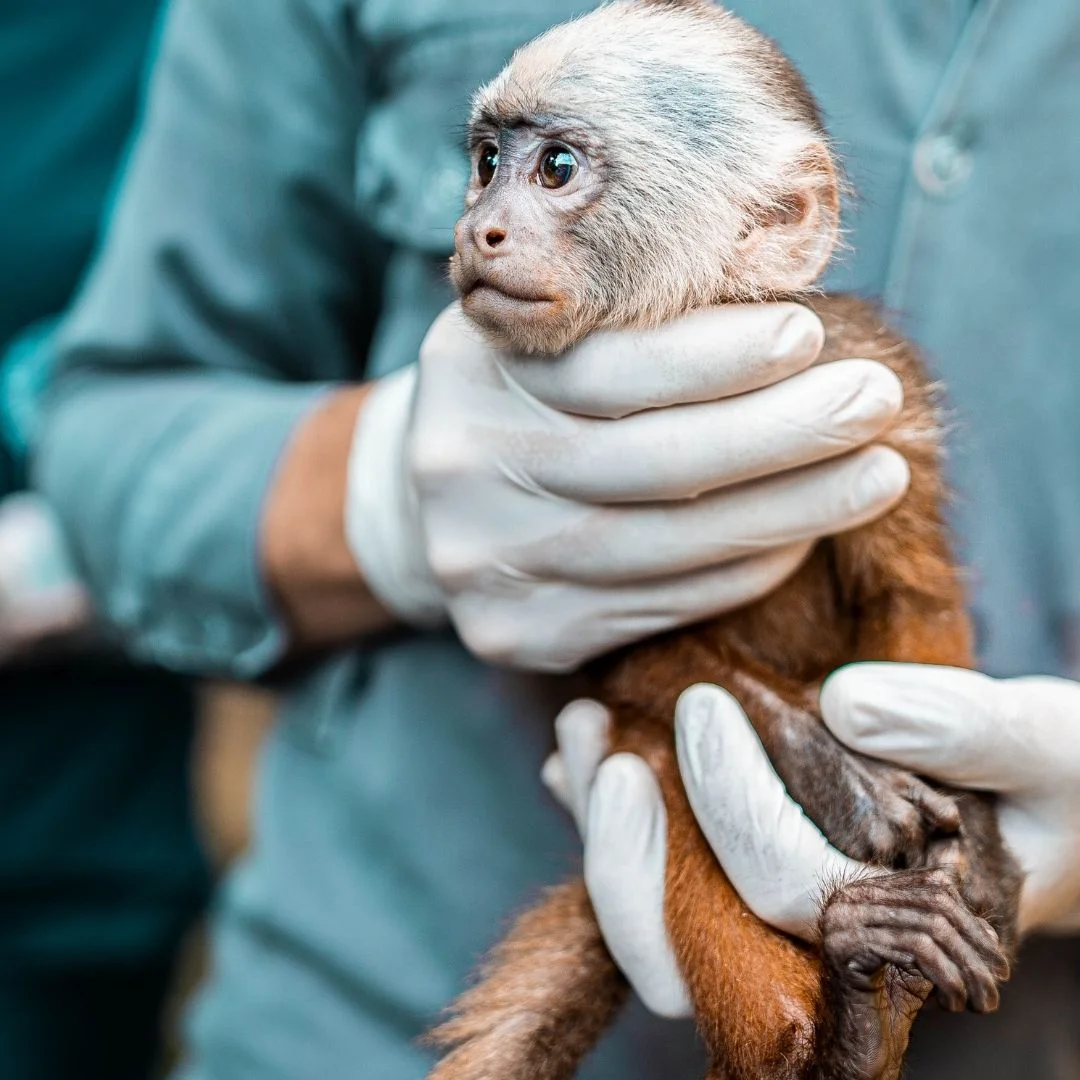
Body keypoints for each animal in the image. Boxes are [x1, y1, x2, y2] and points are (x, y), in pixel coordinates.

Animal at [423, 2, 1019, 1080]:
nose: (476, 226)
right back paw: (834, 1018)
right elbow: (624, 658)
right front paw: (830, 766)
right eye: (486, 162)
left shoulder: (872, 372)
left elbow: (913, 600)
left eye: (556, 169)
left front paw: (978, 834)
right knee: (664, 756)